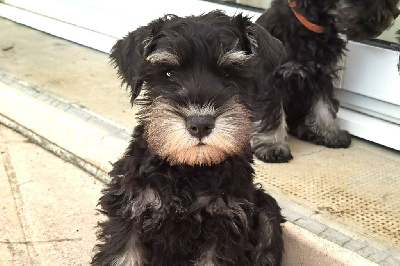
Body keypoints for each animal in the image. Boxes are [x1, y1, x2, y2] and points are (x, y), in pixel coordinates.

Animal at [91, 10, 284, 266]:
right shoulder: (130, 210)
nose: (200, 124)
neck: (190, 169)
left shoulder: (225, 225)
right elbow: (123, 256)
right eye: (168, 73)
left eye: (229, 73)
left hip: (267, 212)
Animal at [256, 0, 400, 162]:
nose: (396, 13)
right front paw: (272, 145)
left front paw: (330, 133)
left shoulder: (322, 76)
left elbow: (324, 107)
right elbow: (272, 114)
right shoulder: (272, 80)